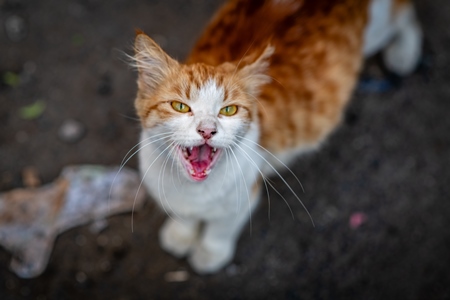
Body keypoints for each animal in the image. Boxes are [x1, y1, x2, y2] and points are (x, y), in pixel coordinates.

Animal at [130, 0, 422, 274]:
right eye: (180, 106)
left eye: (228, 110)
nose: (207, 130)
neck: (193, 190)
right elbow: (184, 215)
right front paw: (181, 233)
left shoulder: (245, 193)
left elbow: (222, 228)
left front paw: (210, 253)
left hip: (378, 29)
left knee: (406, 15)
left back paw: (405, 52)